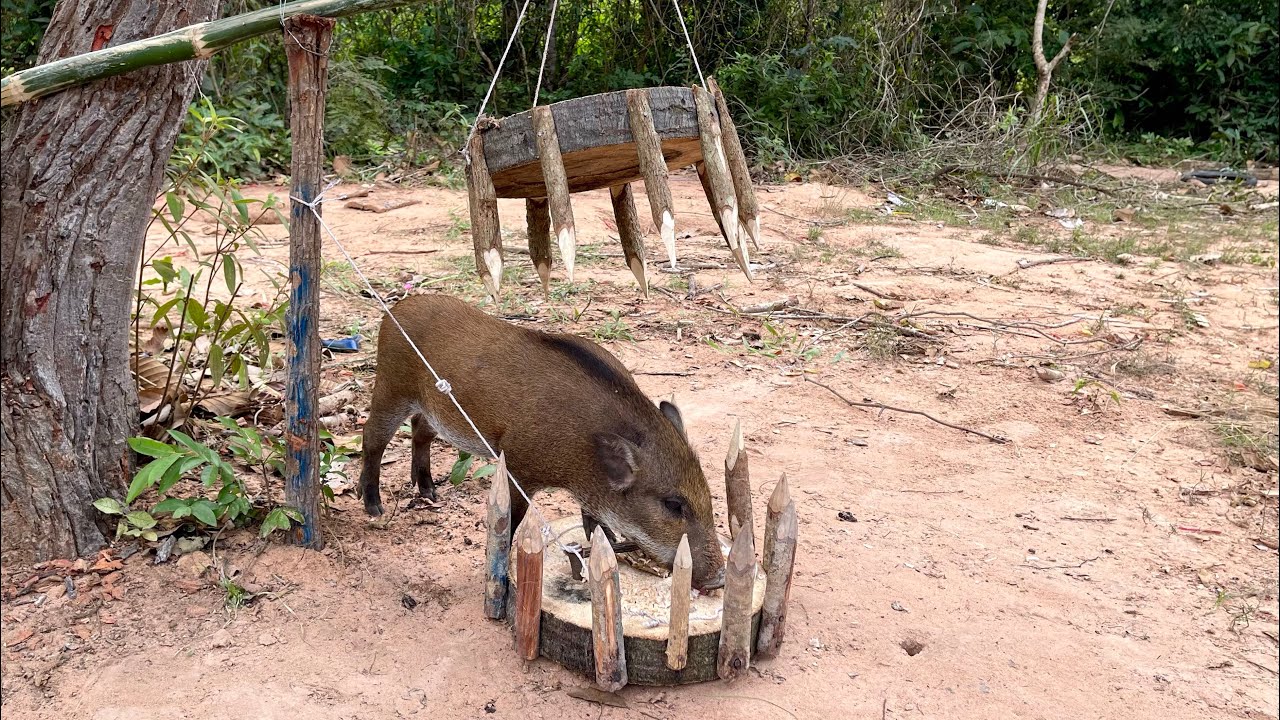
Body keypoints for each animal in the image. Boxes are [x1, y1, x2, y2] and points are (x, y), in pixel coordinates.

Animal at [356, 294, 726, 590]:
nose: (718, 580)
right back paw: (373, 506)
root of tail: (395, 309)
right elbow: (513, 522)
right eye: (673, 505)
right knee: (372, 438)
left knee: (420, 430)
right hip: (391, 388)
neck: (583, 446)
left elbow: (594, 520)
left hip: (433, 408)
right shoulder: (519, 468)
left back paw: (429, 491)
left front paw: (604, 541)